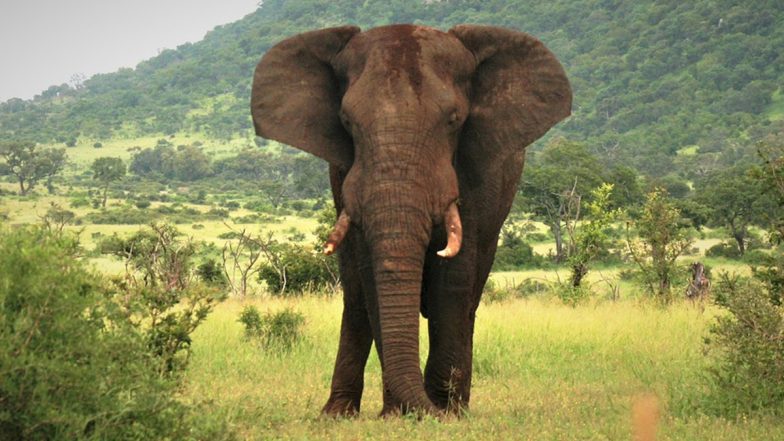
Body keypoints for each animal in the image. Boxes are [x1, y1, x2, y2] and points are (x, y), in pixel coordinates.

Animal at [251, 24, 571, 416]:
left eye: (454, 120)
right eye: (346, 122)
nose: (427, 408)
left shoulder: (475, 172)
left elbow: (453, 277)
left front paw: (443, 413)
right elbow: (371, 277)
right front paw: (399, 414)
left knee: (470, 297)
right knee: (355, 299)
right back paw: (337, 414)